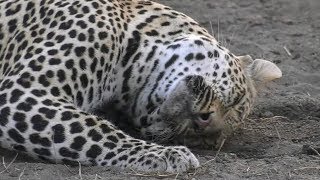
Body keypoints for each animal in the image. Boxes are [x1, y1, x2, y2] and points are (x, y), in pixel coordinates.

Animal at [0, 0, 282, 173]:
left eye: (199, 140)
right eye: (235, 99)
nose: (203, 125)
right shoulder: (23, 90)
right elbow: (92, 129)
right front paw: (167, 156)